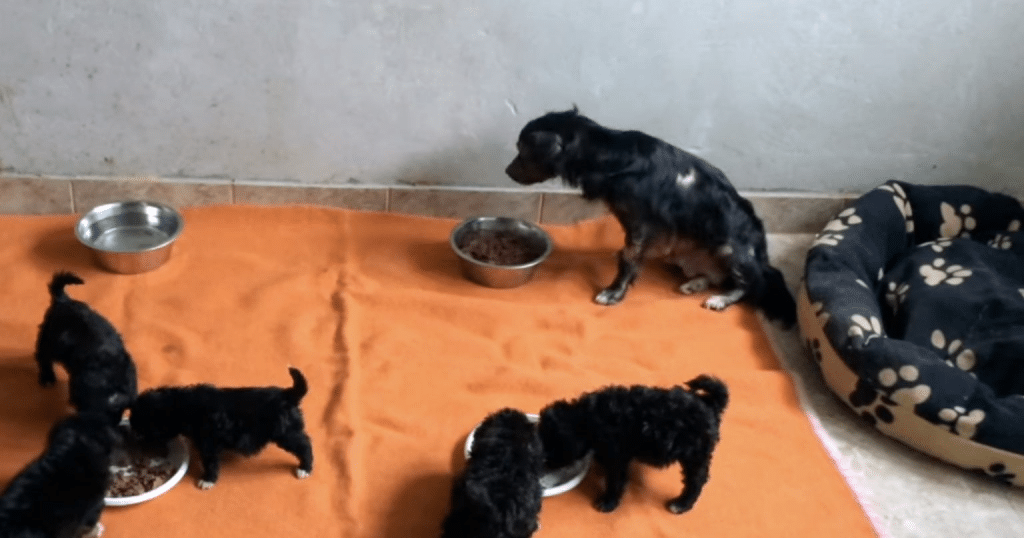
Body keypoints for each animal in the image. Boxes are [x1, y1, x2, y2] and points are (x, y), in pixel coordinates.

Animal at [128, 367, 313, 489]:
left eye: (141, 431)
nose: (141, 448)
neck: (182, 406)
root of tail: (288, 395)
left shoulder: (209, 442)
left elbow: (210, 462)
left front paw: (207, 480)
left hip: (285, 432)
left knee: (304, 445)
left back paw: (305, 468)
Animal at [506, 109, 796, 327]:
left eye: (522, 150)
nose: (507, 171)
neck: (607, 154)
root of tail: (763, 258)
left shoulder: (642, 225)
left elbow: (628, 259)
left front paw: (614, 292)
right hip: (678, 252)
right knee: (716, 277)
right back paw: (694, 284)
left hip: (731, 249)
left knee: (750, 285)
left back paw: (721, 299)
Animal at [537, 375, 728, 514]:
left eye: (551, 452)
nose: (544, 466)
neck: (587, 418)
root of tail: (711, 404)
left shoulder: (617, 456)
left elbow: (616, 481)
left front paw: (608, 502)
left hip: (695, 452)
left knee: (697, 479)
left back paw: (681, 504)